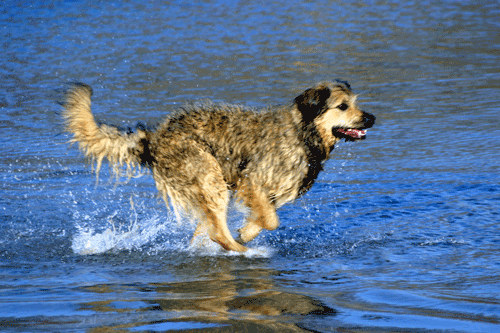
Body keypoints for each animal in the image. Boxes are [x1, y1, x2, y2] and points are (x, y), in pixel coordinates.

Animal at [61, 80, 376, 252]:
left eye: (355, 102)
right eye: (342, 106)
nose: (371, 117)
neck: (303, 132)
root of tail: (154, 137)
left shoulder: (269, 191)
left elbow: (266, 216)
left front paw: (247, 230)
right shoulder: (252, 181)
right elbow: (271, 219)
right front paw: (246, 235)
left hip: (207, 185)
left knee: (207, 228)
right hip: (207, 174)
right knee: (216, 233)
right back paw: (243, 251)